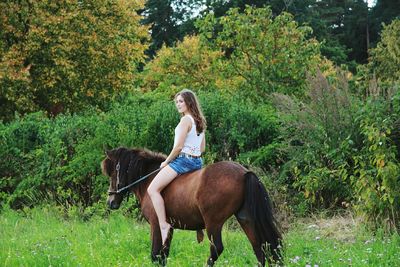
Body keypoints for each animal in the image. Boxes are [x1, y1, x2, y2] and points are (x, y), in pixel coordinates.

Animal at [101, 148, 282, 266]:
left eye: (113, 172)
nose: (110, 201)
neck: (149, 179)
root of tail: (244, 172)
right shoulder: (169, 228)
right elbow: (163, 256)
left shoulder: (156, 224)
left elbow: (155, 254)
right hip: (246, 219)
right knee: (259, 248)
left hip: (213, 223)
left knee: (217, 249)